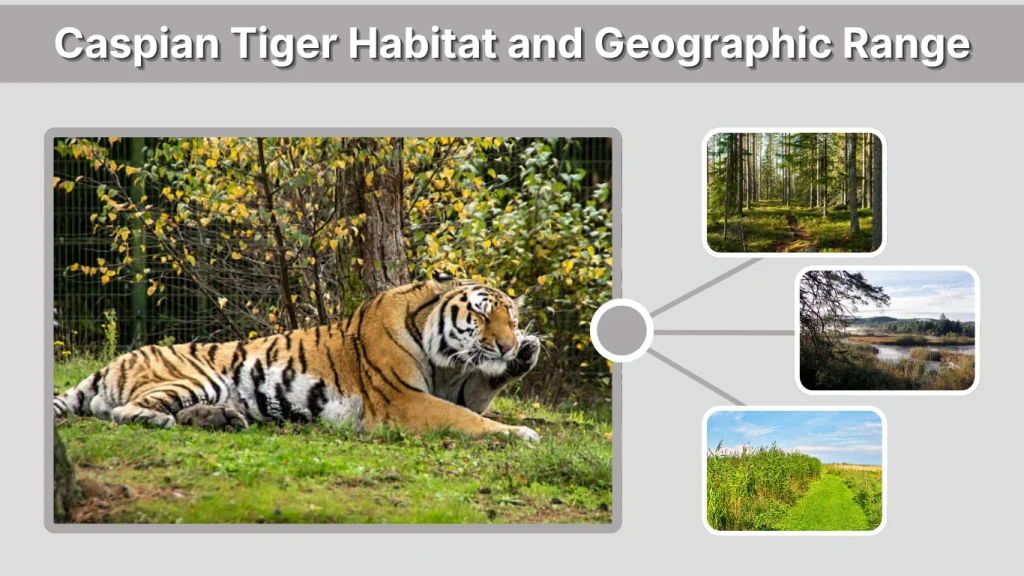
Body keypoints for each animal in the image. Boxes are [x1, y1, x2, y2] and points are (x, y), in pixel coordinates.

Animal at [53, 271, 543, 442]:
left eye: (512, 319)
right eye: (481, 314)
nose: (507, 344)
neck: (446, 362)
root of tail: (112, 363)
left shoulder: (454, 387)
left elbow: (477, 399)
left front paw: (527, 353)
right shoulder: (404, 401)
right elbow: (470, 420)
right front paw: (521, 433)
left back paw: (225, 419)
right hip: (196, 377)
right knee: (119, 411)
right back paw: (161, 420)